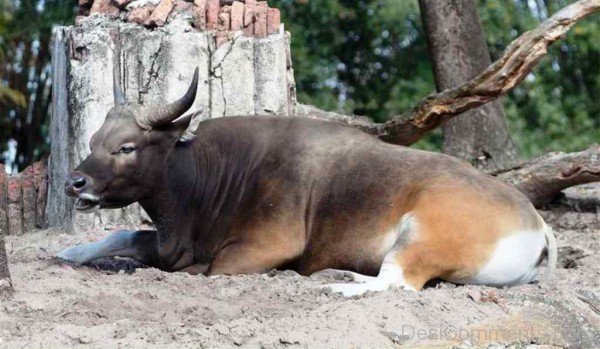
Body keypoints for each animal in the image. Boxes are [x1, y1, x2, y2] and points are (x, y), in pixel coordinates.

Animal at [58, 68, 556, 294]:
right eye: (95, 139)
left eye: (126, 147)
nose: (75, 182)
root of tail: (534, 220)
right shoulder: (170, 242)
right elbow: (125, 235)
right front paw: (71, 253)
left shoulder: (266, 245)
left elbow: (208, 268)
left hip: (420, 236)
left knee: (396, 281)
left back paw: (336, 282)